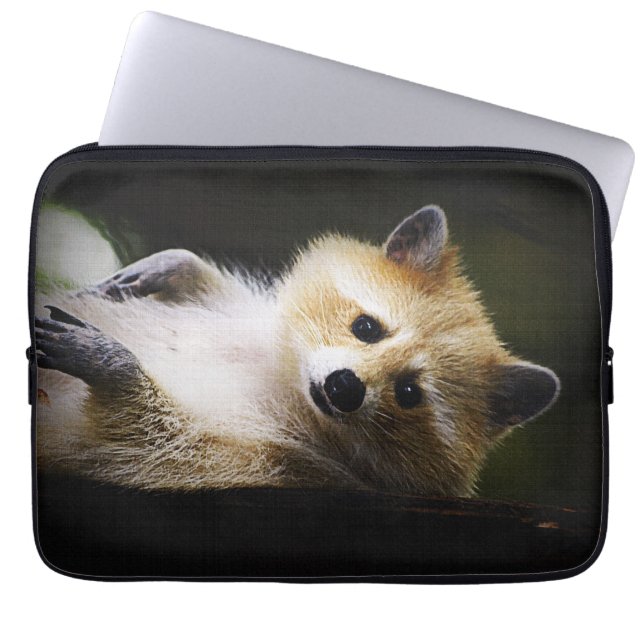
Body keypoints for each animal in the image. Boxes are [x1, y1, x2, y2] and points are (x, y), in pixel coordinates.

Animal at [34, 206, 560, 497]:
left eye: (410, 393)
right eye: (366, 327)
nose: (344, 386)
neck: (285, 385)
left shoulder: (279, 464)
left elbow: (141, 436)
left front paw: (117, 366)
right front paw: (181, 266)